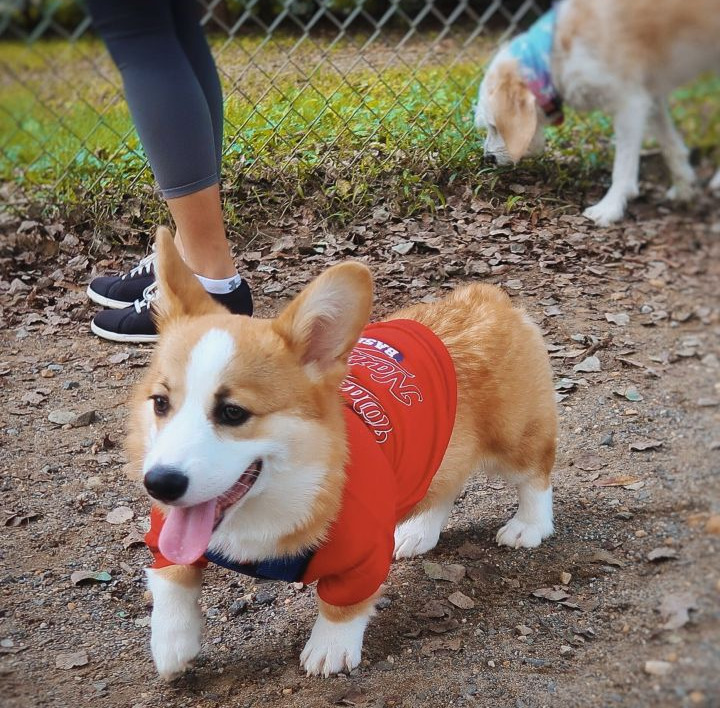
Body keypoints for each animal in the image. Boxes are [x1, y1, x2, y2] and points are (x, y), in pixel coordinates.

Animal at [128, 228, 556, 680]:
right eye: (160, 403)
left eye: (233, 412)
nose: (160, 485)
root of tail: (487, 298)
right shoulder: (166, 537)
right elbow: (172, 578)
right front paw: (172, 647)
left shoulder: (363, 556)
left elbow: (341, 606)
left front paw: (329, 649)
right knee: (444, 485)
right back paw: (419, 532)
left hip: (515, 438)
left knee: (536, 473)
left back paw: (528, 526)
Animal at [476, 0, 720, 227]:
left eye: (494, 126)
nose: (487, 158)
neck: (553, 53)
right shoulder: (651, 97)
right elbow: (672, 147)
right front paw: (684, 188)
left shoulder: (630, 105)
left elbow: (622, 169)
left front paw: (610, 208)